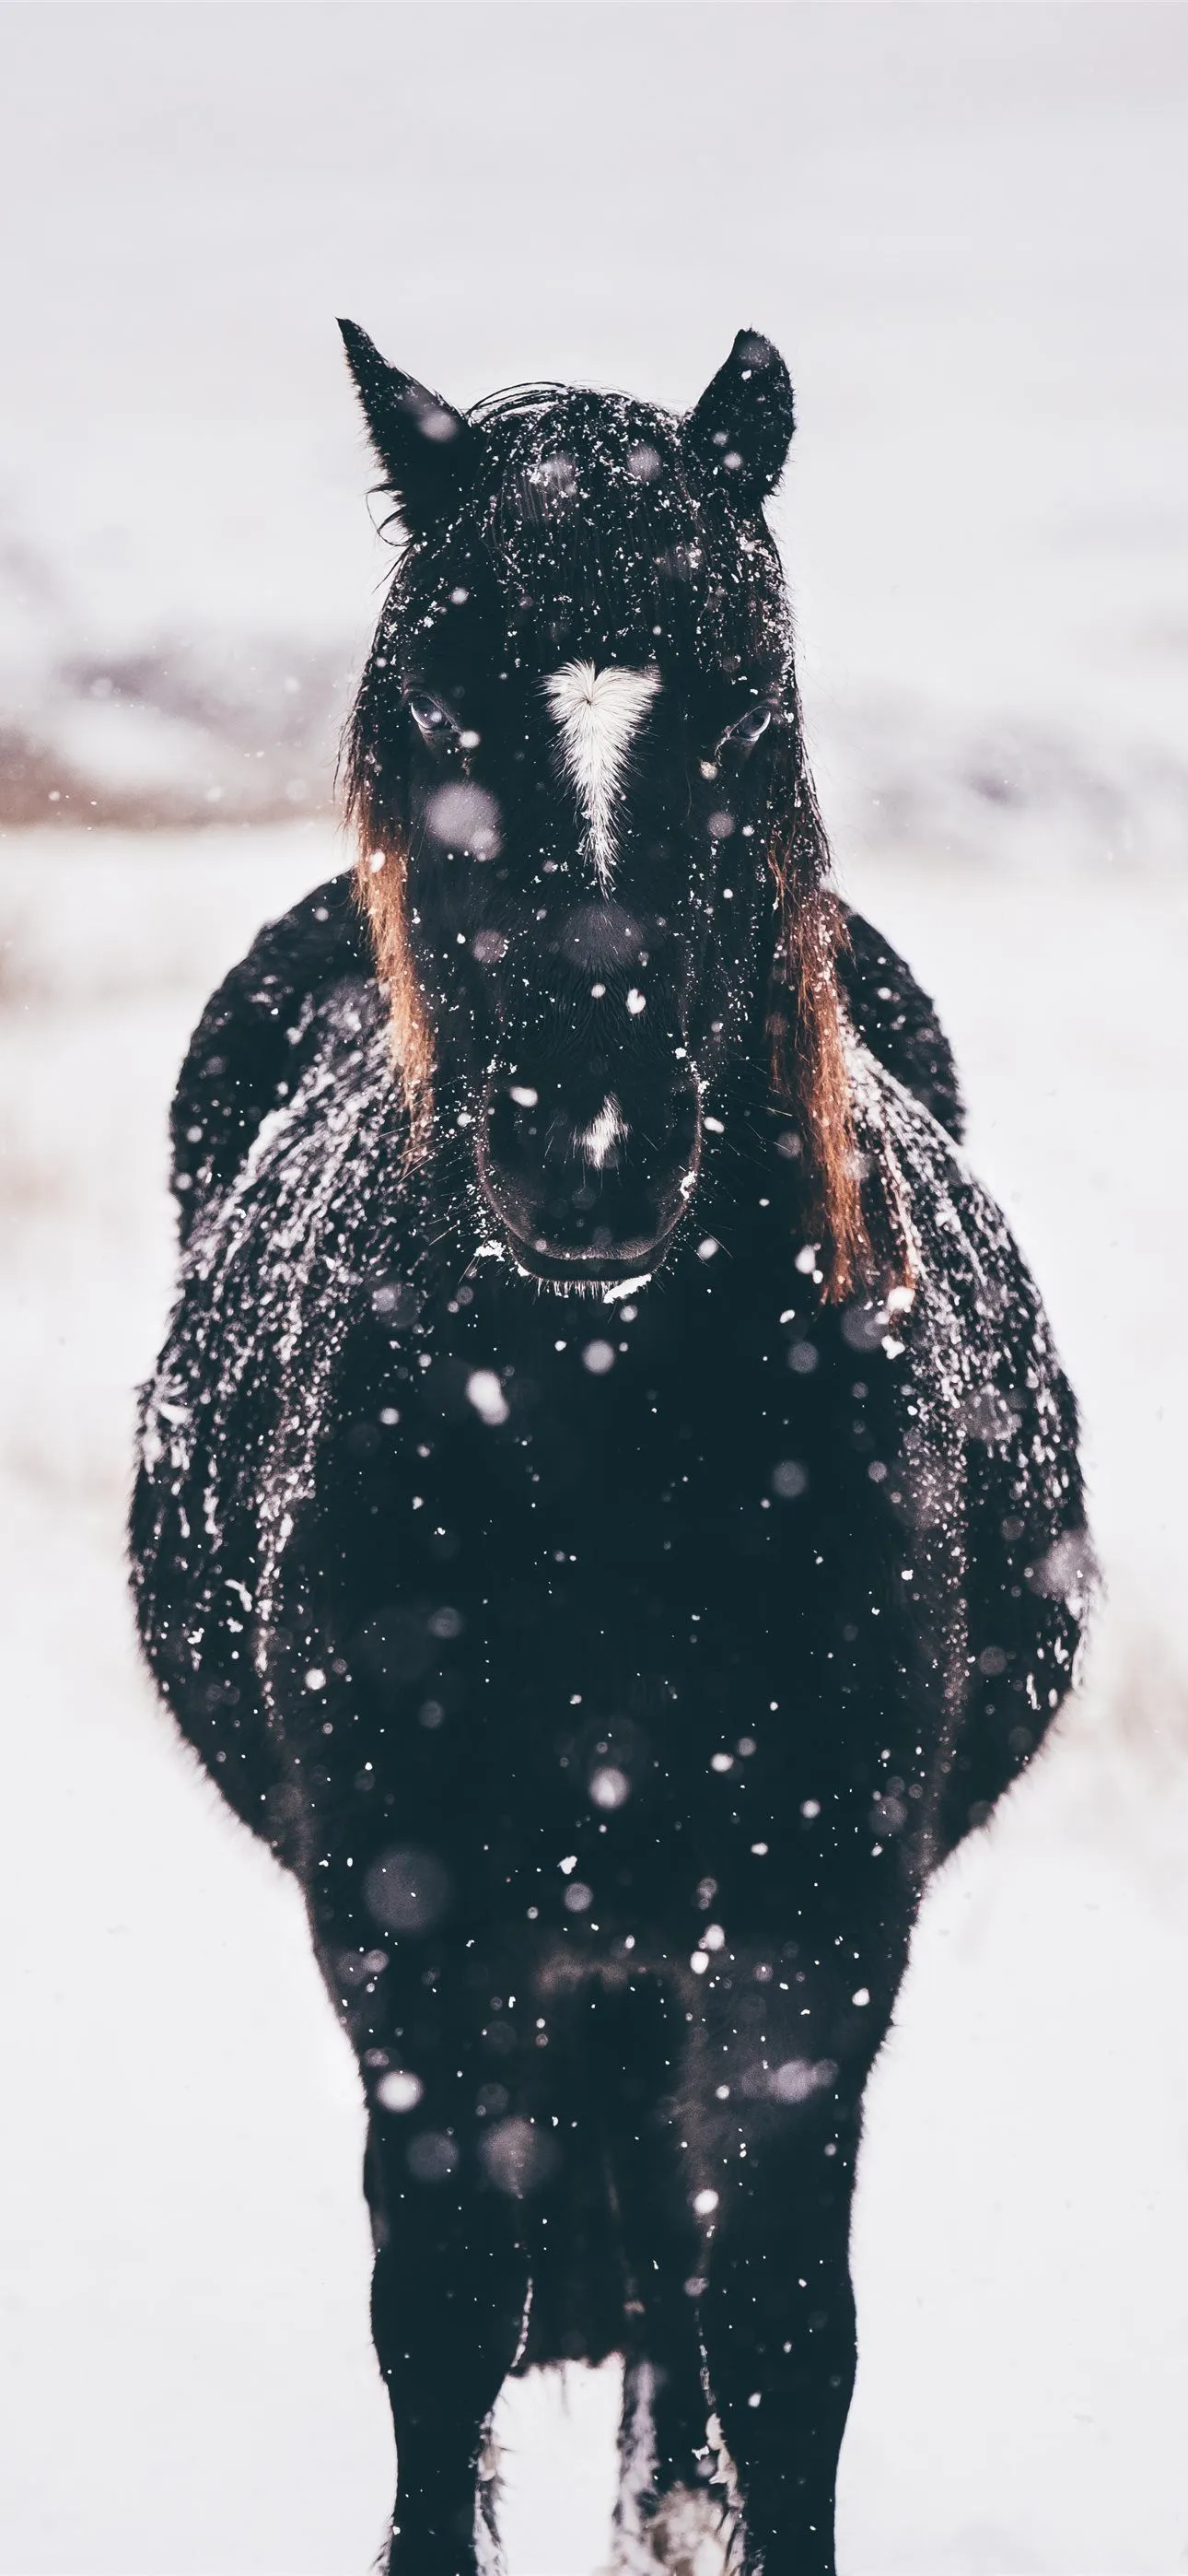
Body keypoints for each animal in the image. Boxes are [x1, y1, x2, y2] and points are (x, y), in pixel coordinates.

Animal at [131, 324, 1090, 2576]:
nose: (587, 1155)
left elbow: (787, 2323)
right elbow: (442, 2315)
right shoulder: (413, 1943)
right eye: (428, 703)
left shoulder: (814, 1936)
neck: (610, 1455)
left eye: (741, 705)